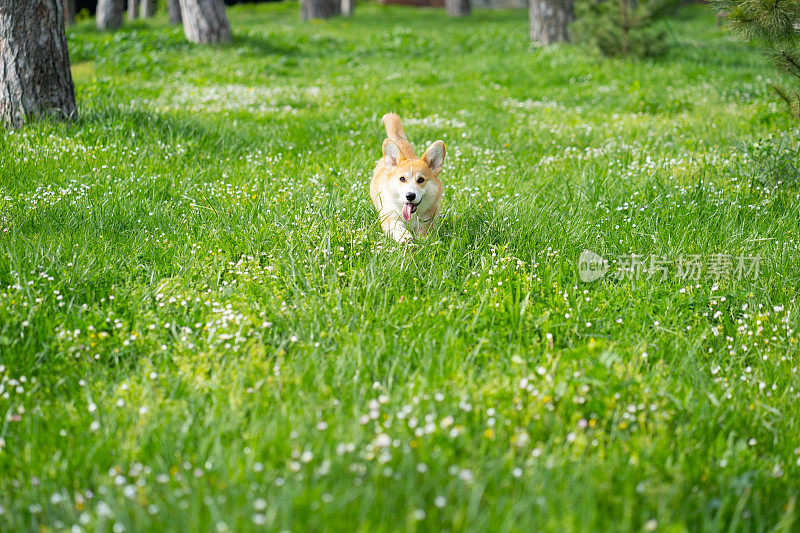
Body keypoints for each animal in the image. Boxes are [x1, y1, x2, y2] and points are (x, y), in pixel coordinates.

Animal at [372, 115, 446, 244]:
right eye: (402, 179)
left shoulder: (427, 221)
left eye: (421, 180)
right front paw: (405, 238)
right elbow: (397, 227)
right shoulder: (389, 217)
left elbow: (424, 233)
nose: (410, 196)